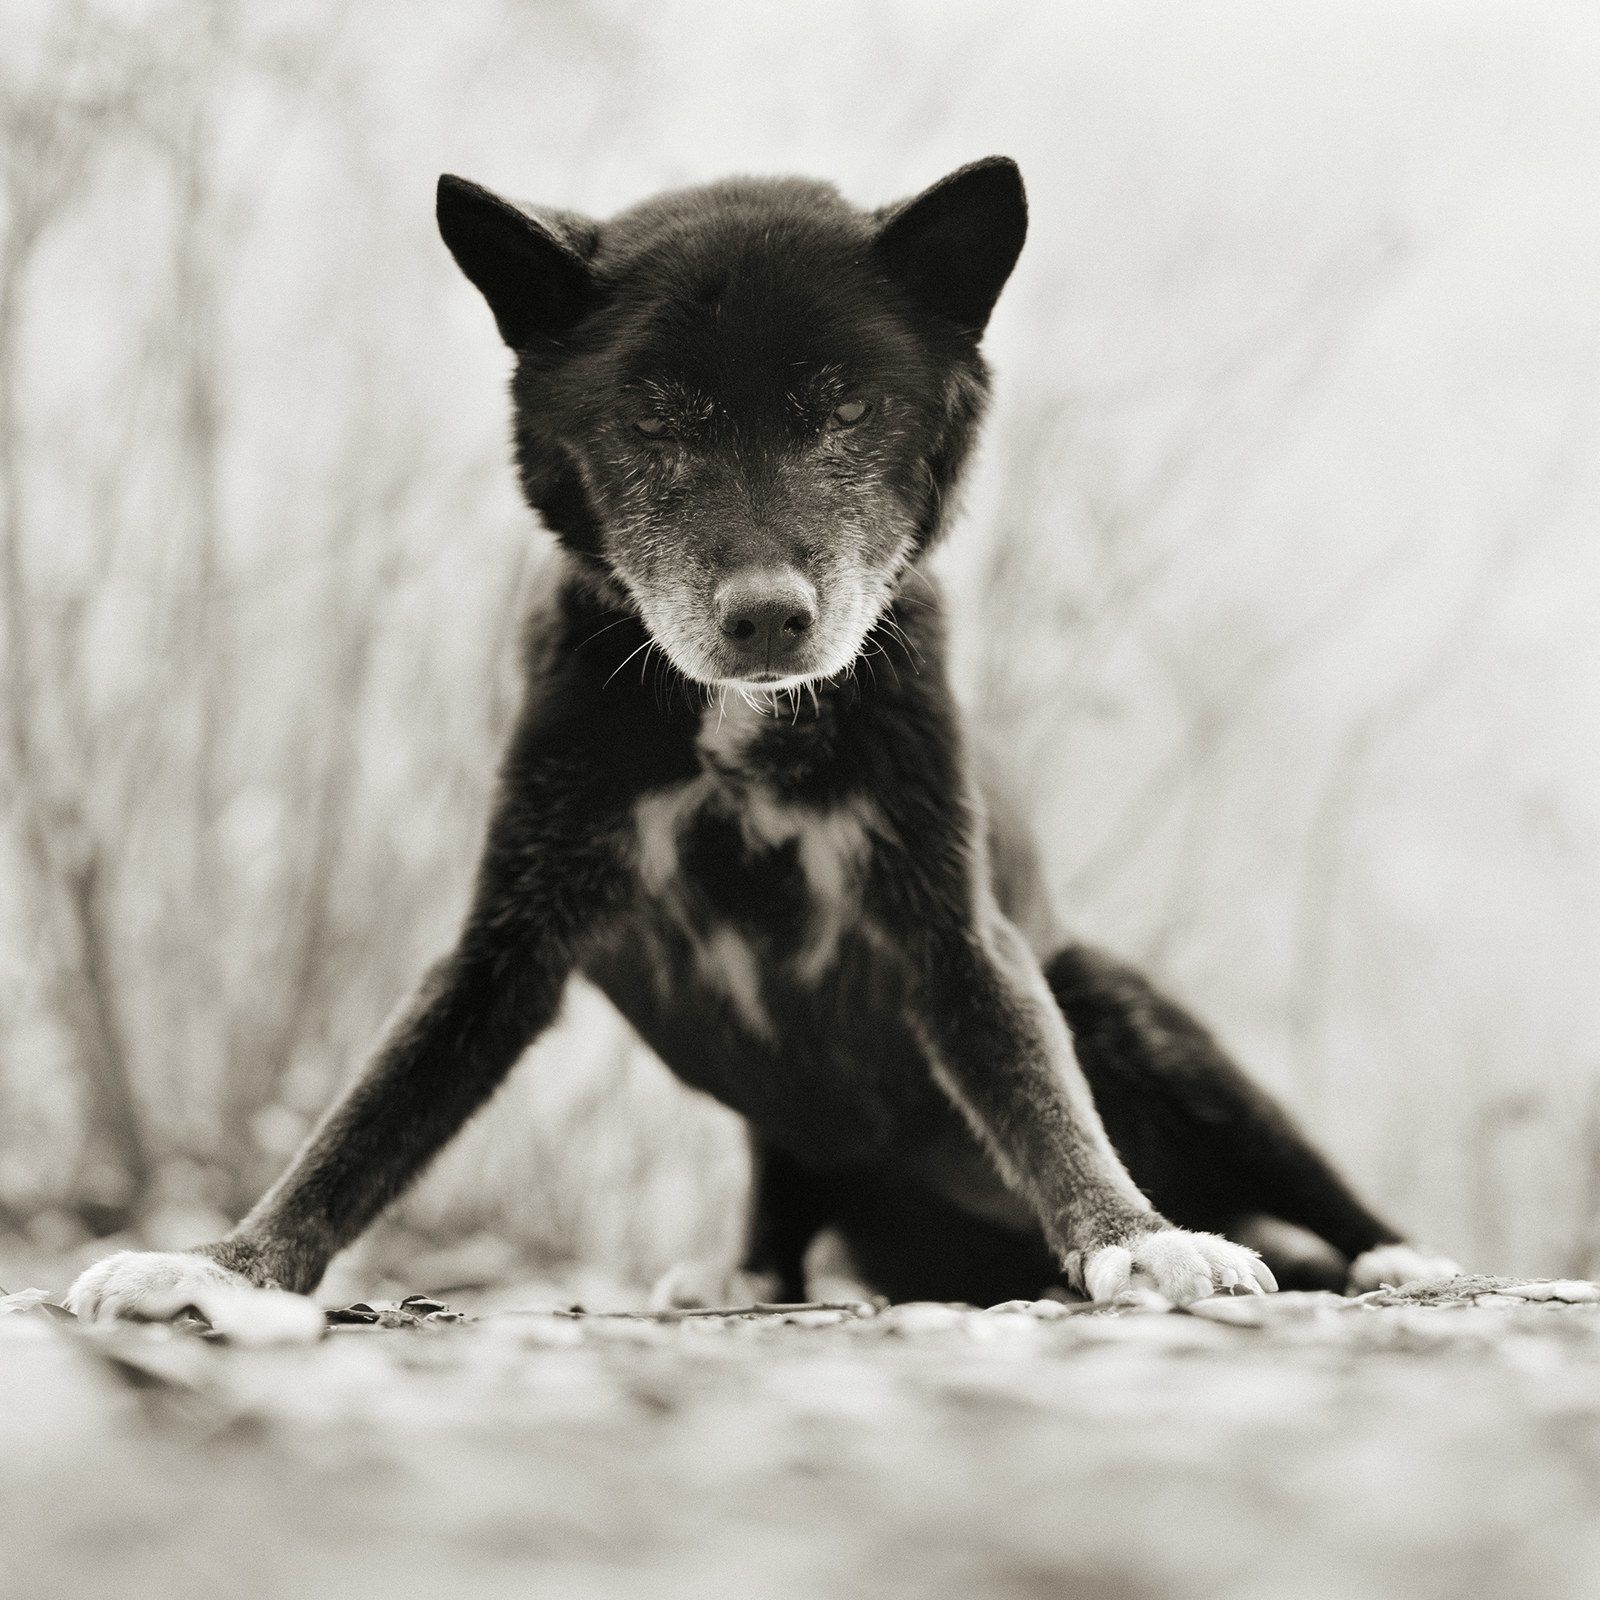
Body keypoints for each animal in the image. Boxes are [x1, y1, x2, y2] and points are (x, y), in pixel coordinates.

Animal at [68, 156, 1459, 1318]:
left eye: (844, 409)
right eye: (654, 416)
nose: (768, 617)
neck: (736, 732)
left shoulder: (955, 930)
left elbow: (1037, 1095)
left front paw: (1136, 1237)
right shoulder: (503, 941)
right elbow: (366, 1122)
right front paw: (225, 1264)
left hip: (1133, 1008)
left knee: (1320, 1201)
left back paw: (1393, 1257)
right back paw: (743, 1276)